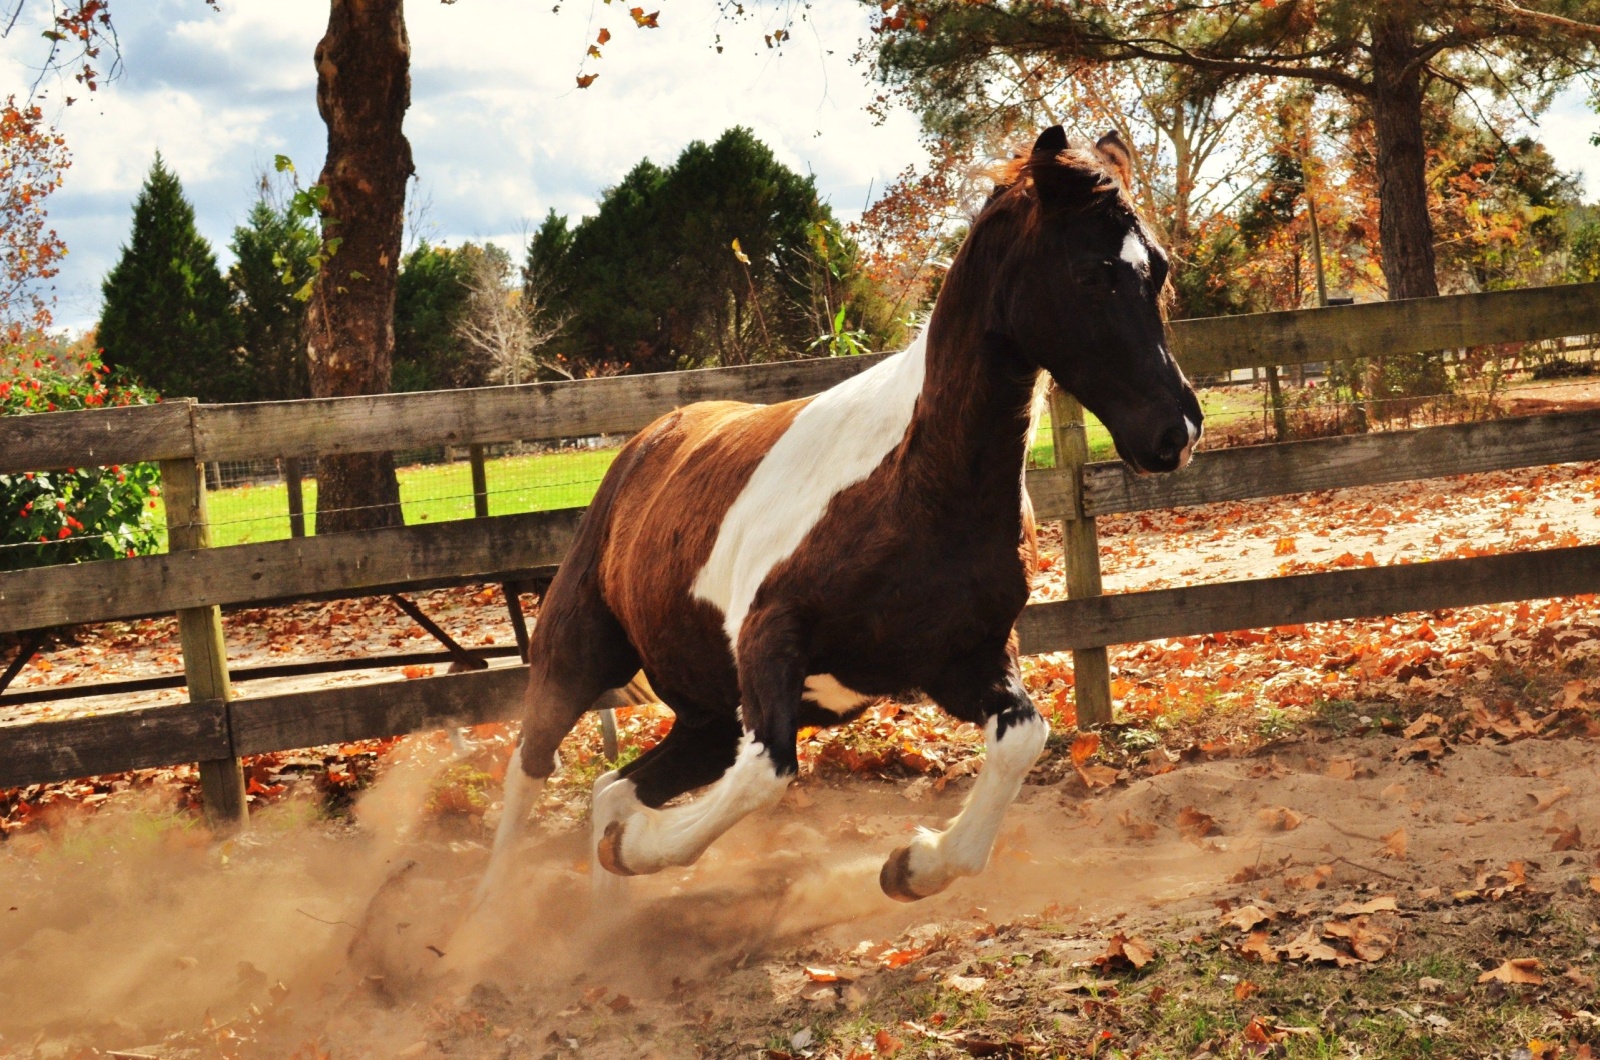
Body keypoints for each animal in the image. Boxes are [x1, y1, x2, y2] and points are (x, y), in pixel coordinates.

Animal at [483, 126, 1203, 903]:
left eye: (1158, 270)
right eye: (1093, 274)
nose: (1177, 431)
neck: (919, 486)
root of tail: (645, 442)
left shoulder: (965, 660)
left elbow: (1023, 738)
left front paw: (914, 866)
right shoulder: (770, 640)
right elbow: (767, 774)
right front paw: (640, 849)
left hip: (707, 715)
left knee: (613, 789)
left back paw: (607, 910)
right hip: (576, 658)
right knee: (532, 768)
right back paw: (491, 911)